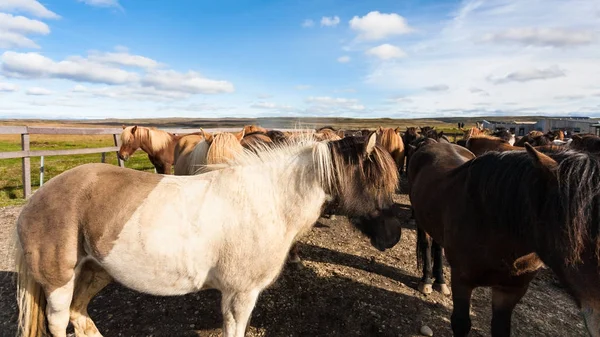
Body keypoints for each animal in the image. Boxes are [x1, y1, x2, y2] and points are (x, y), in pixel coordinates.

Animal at [12, 131, 404, 336]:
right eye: (375, 182)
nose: (394, 235)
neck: (267, 199)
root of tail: (36, 200)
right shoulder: (239, 296)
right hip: (59, 282)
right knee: (60, 320)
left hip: (97, 270)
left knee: (79, 314)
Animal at [410, 141, 600, 336]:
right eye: (573, 231)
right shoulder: (462, 280)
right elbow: (461, 323)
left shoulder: (510, 291)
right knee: (426, 245)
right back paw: (426, 280)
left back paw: (440, 281)